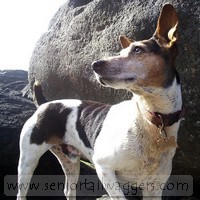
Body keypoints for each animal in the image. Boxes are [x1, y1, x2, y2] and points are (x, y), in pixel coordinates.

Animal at [17, 3, 184, 199]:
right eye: (121, 52)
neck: (150, 117)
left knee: (68, 189)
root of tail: (44, 103)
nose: (95, 64)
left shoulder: (154, 188)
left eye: (137, 50)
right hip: (28, 160)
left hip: (71, 162)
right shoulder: (104, 168)